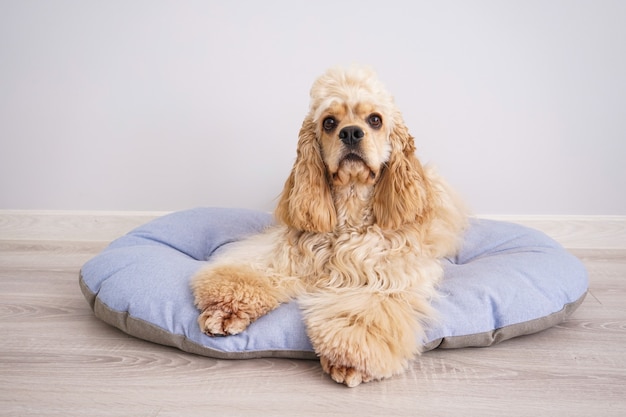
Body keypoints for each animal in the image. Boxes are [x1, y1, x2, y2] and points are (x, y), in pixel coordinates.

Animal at [193, 66, 466, 386]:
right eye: (329, 122)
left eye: (375, 119)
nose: (350, 132)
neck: (350, 206)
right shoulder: (281, 257)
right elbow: (249, 276)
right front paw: (224, 310)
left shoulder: (386, 279)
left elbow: (360, 315)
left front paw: (349, 360)